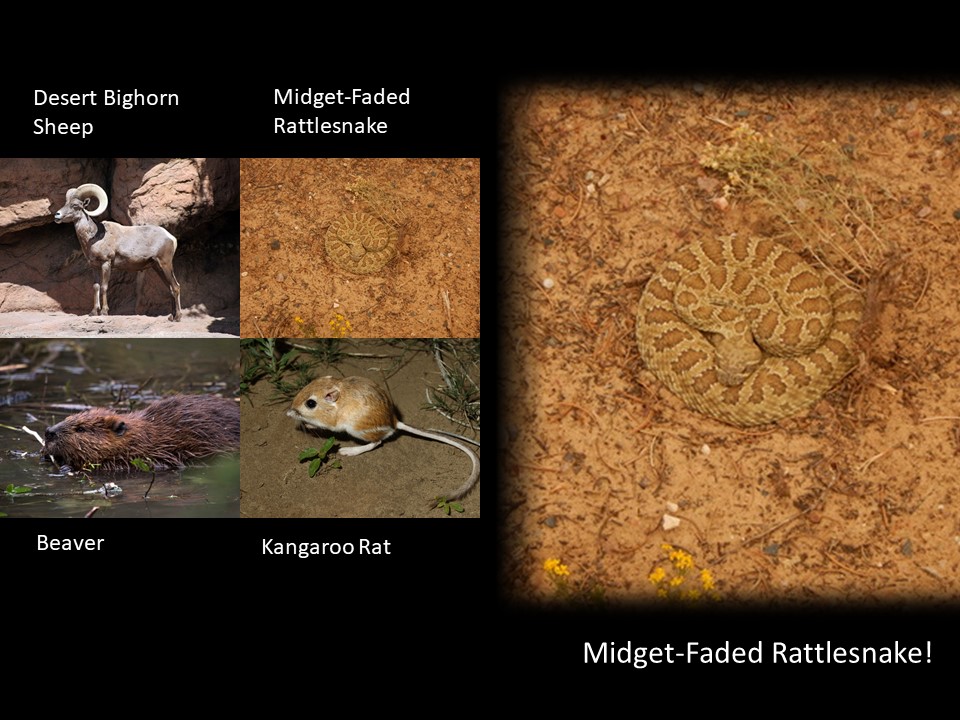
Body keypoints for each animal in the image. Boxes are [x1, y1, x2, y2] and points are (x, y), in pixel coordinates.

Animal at [53, 183, 183, 321]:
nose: (57, 215)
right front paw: (93, 312)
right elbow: (96, 287)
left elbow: (104, 287)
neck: (93, 238)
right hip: (157, 267)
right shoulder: (94, 267)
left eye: (75, 205)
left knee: (175, 287)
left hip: (165, 264)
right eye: (66, 203)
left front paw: (104, 312)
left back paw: (178, 317)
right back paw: (171, 317)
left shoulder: (106, 263)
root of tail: (171, 238)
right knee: (170, 288)